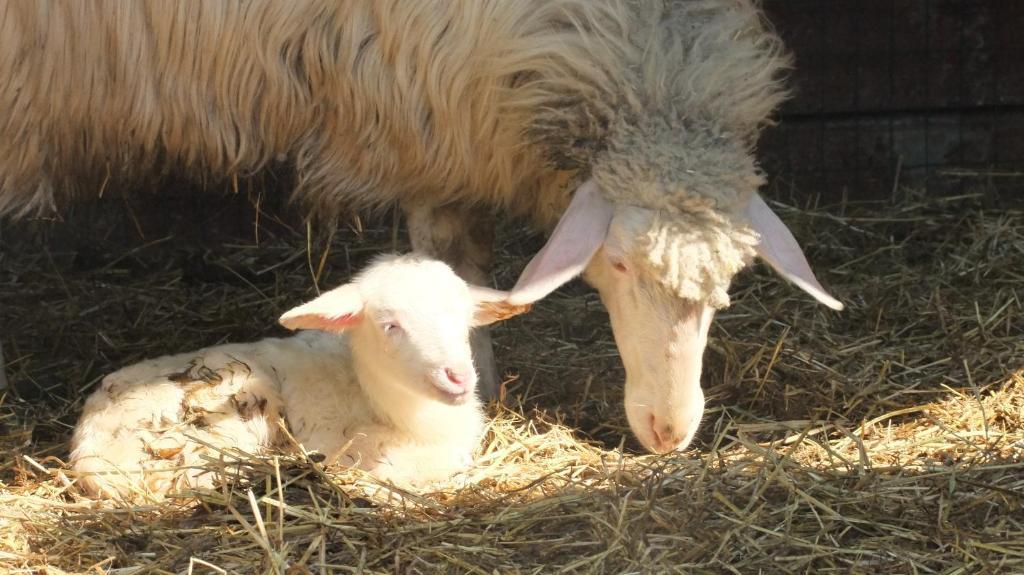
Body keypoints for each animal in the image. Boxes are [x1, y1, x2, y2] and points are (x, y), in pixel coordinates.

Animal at [0, 2, 839, 454]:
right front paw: (478, 387)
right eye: (621, 263)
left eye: (732, 280)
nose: (671, 430)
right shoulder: (426, 124)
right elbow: (451, 254)